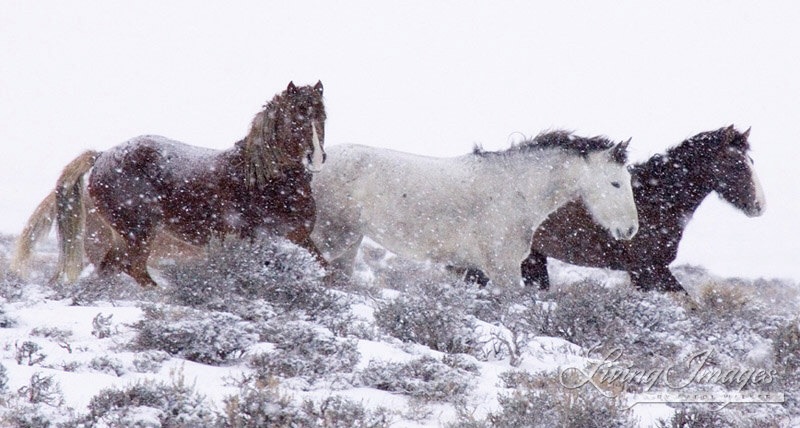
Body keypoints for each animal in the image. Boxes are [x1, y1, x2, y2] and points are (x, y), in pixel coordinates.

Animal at [13, 81, 324, 288]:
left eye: (321, 115)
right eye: (296, 116)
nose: (317, 157)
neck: (263, 181)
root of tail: (101, 156)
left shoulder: (300, 237)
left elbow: (324, 268)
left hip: (125, 235)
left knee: (112, 268)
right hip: (138, 231)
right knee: (133, 268)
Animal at [310, 130, 636, 288]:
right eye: (616, 183)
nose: (631, 230)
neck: (515, 188)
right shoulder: (503, 269)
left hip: (349, 242)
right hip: (329, 237)